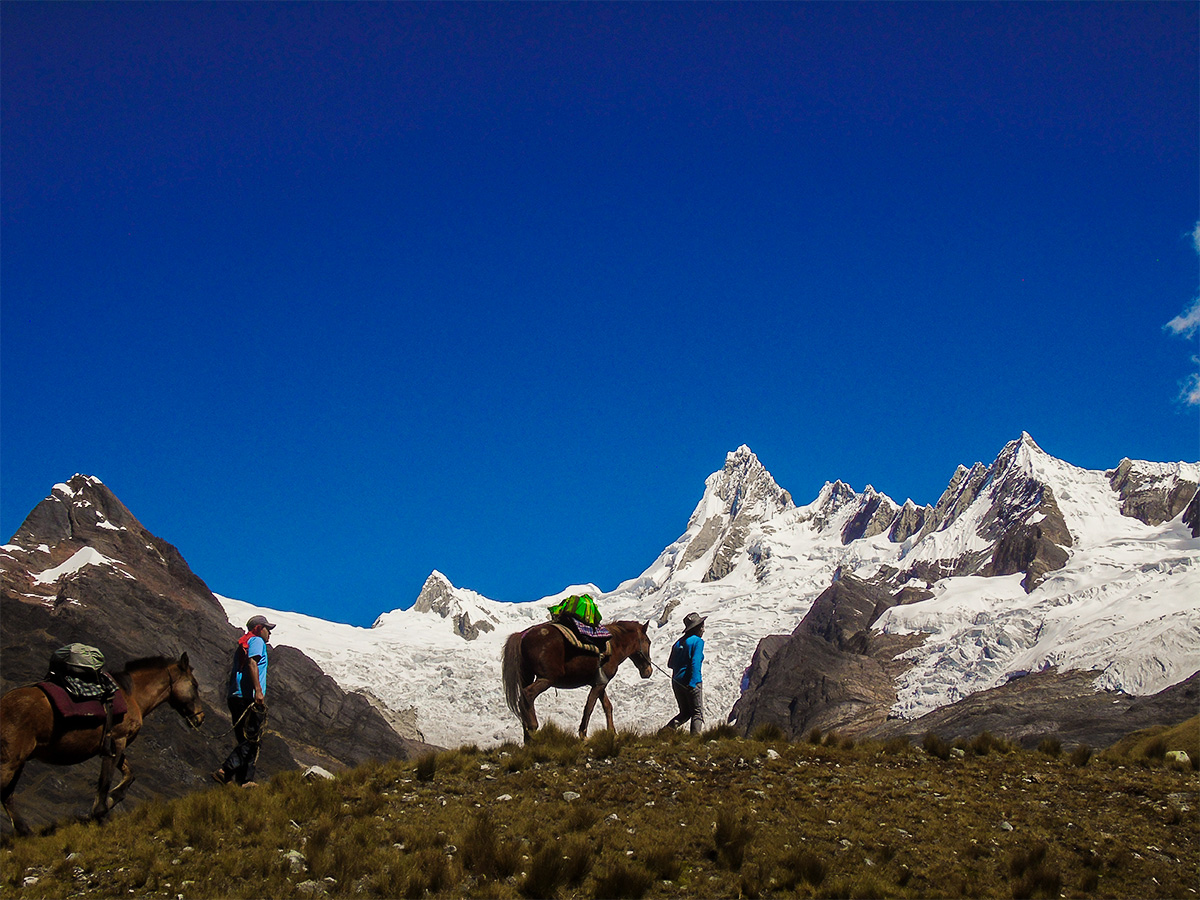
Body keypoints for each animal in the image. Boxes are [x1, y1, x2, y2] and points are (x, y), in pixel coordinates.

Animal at [0, 657, 204, 840]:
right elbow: (105, 780)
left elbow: (129, 774)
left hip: (19, 761)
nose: (200, 718)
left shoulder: (117, 746)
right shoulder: (117, 741)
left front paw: (112, 799)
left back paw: (26, 832)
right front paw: (99, 812)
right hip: (10, 761)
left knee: (7, 795)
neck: (132, 696)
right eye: (194, 685)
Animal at [501, 624, 652, 744]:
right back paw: (533, 729)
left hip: (527, 677)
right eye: (648, 642)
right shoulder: (599, 684)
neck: (614, 645)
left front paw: (613, 733)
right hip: (546, 679)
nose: (648, 671)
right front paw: (583, 735)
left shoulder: (599, 682)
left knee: (522, 701)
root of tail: (522, 636)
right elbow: (589, 707)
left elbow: (607, 706)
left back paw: (527, 738)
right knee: (528, 695)